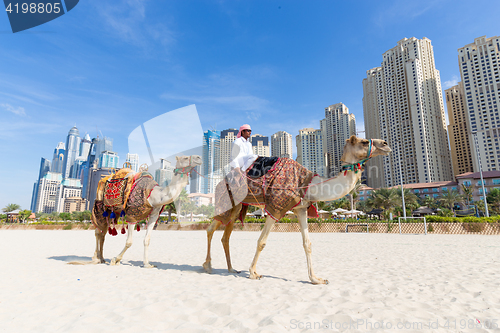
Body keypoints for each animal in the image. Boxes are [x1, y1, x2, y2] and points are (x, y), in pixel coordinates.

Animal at [73, 154, 201, 266]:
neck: (154, 195)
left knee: (103, 232)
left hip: (113, 211)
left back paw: (102, 258)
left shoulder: (154, 216)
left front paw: (147, 264)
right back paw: (96, 258)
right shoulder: (132, 215)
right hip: (100, 204)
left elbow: (147, 240)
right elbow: (129, 242)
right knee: (98, 230)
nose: (199, 157)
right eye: (185, 157)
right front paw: (115, 259)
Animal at [203, 136, 390, 284]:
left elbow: (307, 243)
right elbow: (262, 242)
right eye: (364, 141)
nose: (386, 144)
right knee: (211, 228)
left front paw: (316, 279)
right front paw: (253, 273)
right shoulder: (276, 208)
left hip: (238, 206)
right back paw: (208, 266)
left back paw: (231, 269)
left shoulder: (301, 209)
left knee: (225, 235)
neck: (307, 184)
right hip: (226, 201)